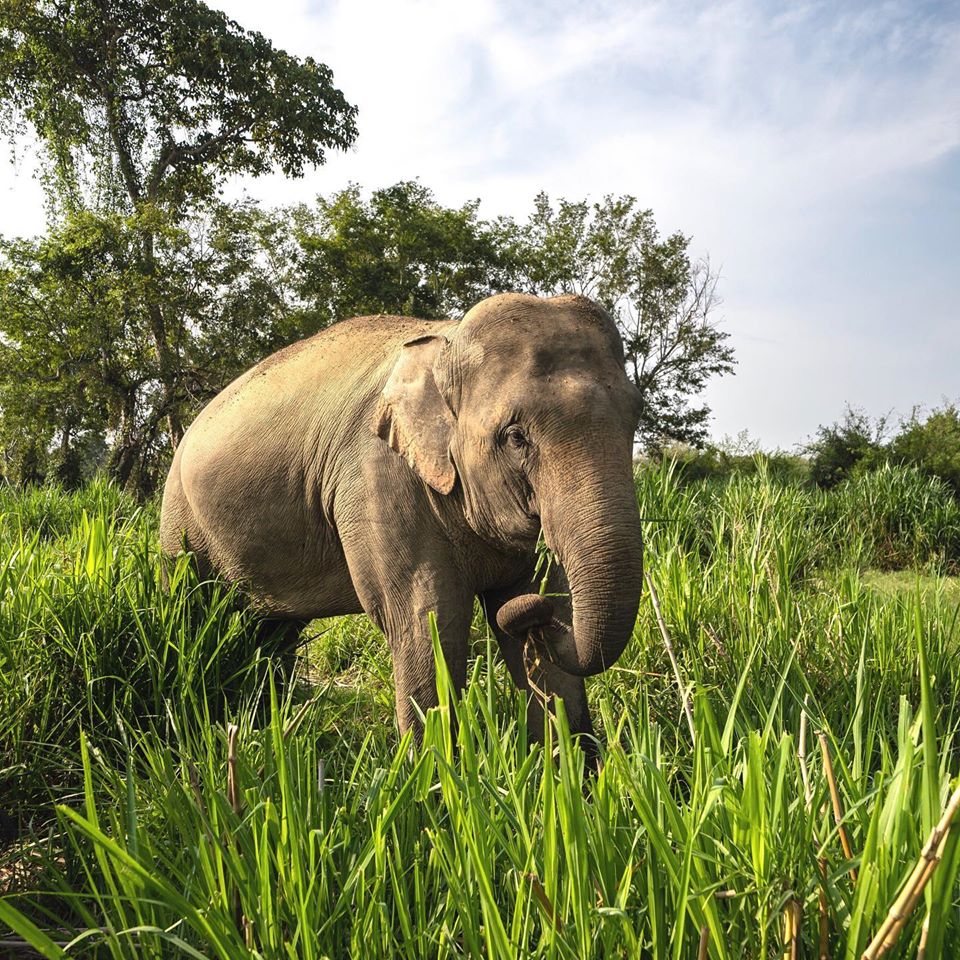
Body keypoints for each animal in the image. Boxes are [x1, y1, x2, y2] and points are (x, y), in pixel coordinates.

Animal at [161, 292, 644, 756]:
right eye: (515, 437)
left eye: (634, 419)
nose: (536, 620)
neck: (445, 344)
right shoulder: (377, 477)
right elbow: (427, 622)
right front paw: (434, 775)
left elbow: (542, 610)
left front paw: (574, 774)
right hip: (180, 523)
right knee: (195, 608)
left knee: (275, 632)